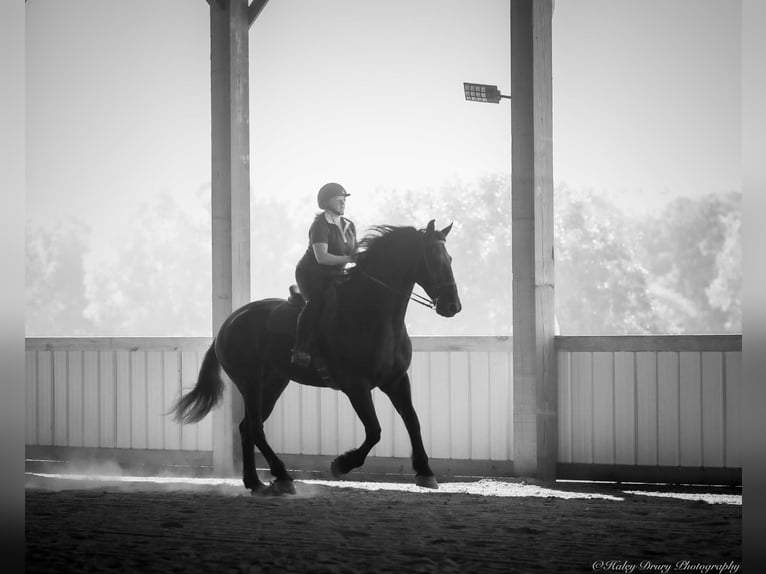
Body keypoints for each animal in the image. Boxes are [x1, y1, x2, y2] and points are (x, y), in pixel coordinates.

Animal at [171, 220, 461, 495]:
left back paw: (256, 483)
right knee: (254, 427)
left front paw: (425, 471)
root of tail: (228, 323)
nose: (453, 306)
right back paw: (282, 476)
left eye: (450, 259)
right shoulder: (356, 386)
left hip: (275, 382)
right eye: (434, 259)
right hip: (249, 382)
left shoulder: (396, 380)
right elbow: (374, 431)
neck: (372, 315)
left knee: (246, 427)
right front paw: (341, 464)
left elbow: (413, 420)